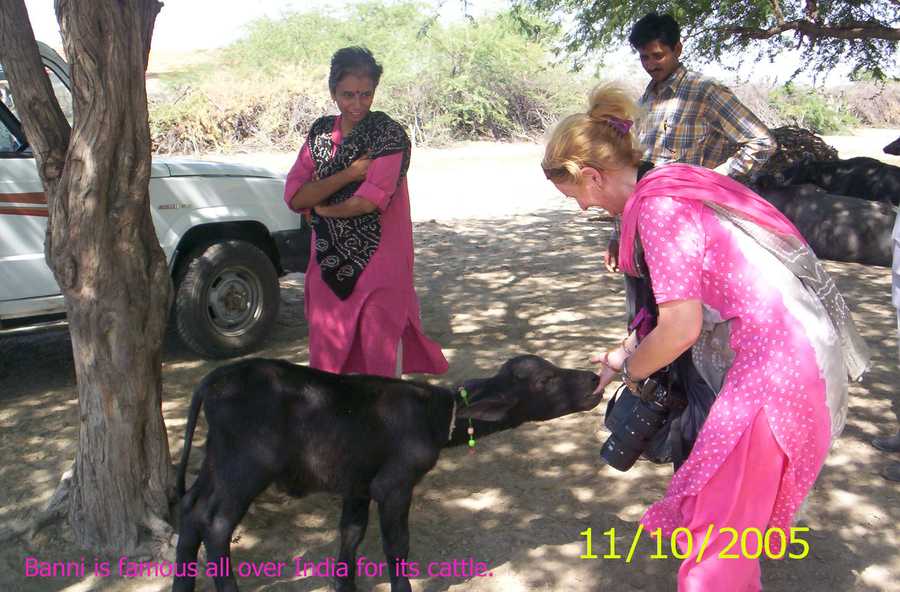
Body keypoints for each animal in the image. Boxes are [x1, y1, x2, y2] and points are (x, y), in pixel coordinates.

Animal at [172, 356, 600, 592]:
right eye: (545, 380)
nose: (595, 378)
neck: (432, 416)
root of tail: (215, 381)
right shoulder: (394, 485)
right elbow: (397, 544)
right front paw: (401, 587)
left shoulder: (358, 484)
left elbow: (351, 533)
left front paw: (343, 584)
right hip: (244, 468)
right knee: (216, 524)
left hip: (216, 462)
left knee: (191, 511)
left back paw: (182, 584)